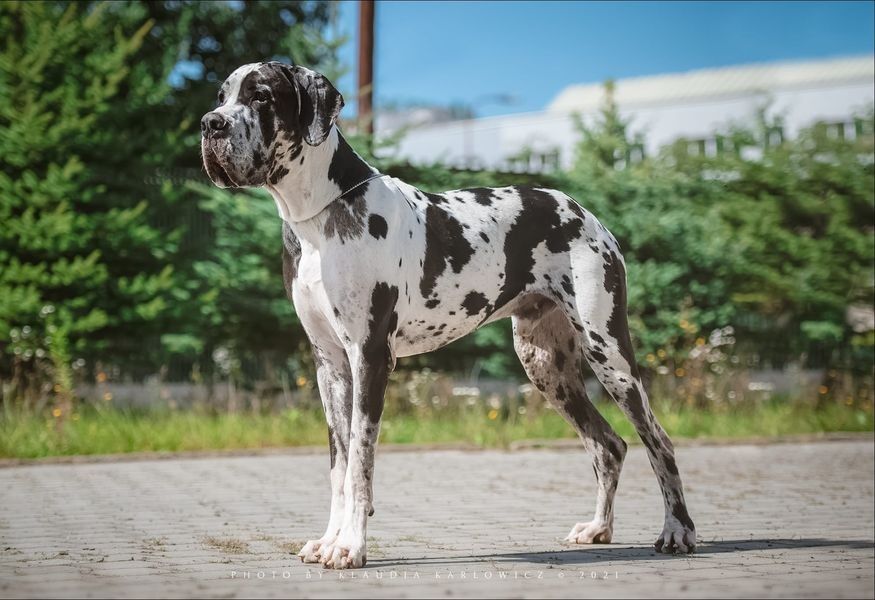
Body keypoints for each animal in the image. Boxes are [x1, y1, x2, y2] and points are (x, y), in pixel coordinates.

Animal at [200, 62, 696, 569]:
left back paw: (677, 531)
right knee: (608, 445)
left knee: (659, 440)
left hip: (609, 353)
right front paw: (329, 540)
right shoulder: (330, 366)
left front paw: (351, 546)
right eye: (221, 97)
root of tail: (585, 212)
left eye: (261, 96)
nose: (210, 124)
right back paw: (598, 528)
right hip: (545, 365)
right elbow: (339, 465)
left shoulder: (369, 357)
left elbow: (360, 461)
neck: (319, 216)